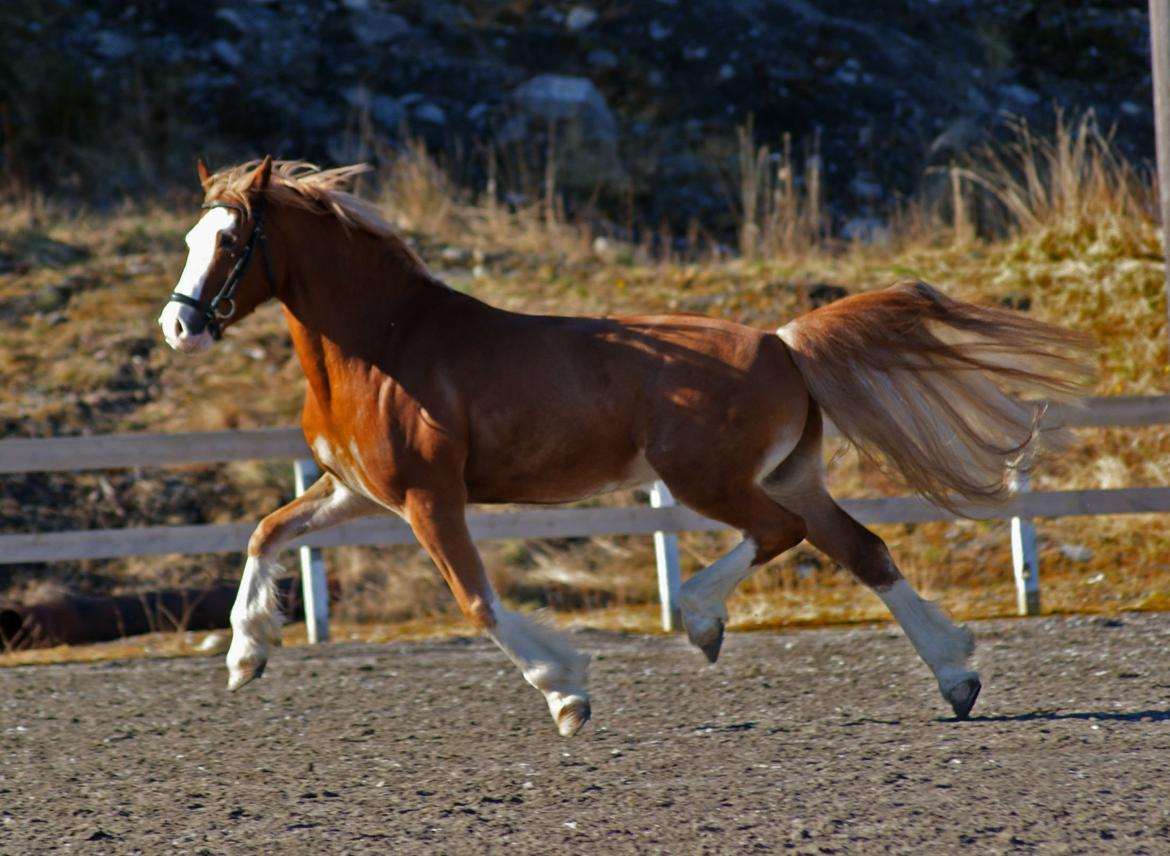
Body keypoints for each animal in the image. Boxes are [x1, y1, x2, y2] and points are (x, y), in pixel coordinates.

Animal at [157, 156, 1095, 734]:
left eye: (233, 241)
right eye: (190, 239)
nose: (179, 325)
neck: (384, 346)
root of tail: (781, 341)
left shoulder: (428, 497)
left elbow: (476, 602)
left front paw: (566, 694)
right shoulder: (357, 491)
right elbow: (266, 534)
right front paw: (245, 656)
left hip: (712, 481)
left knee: (781, 537)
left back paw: (704, 621)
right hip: (791, 475)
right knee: (860, 548)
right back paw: (957, 677)